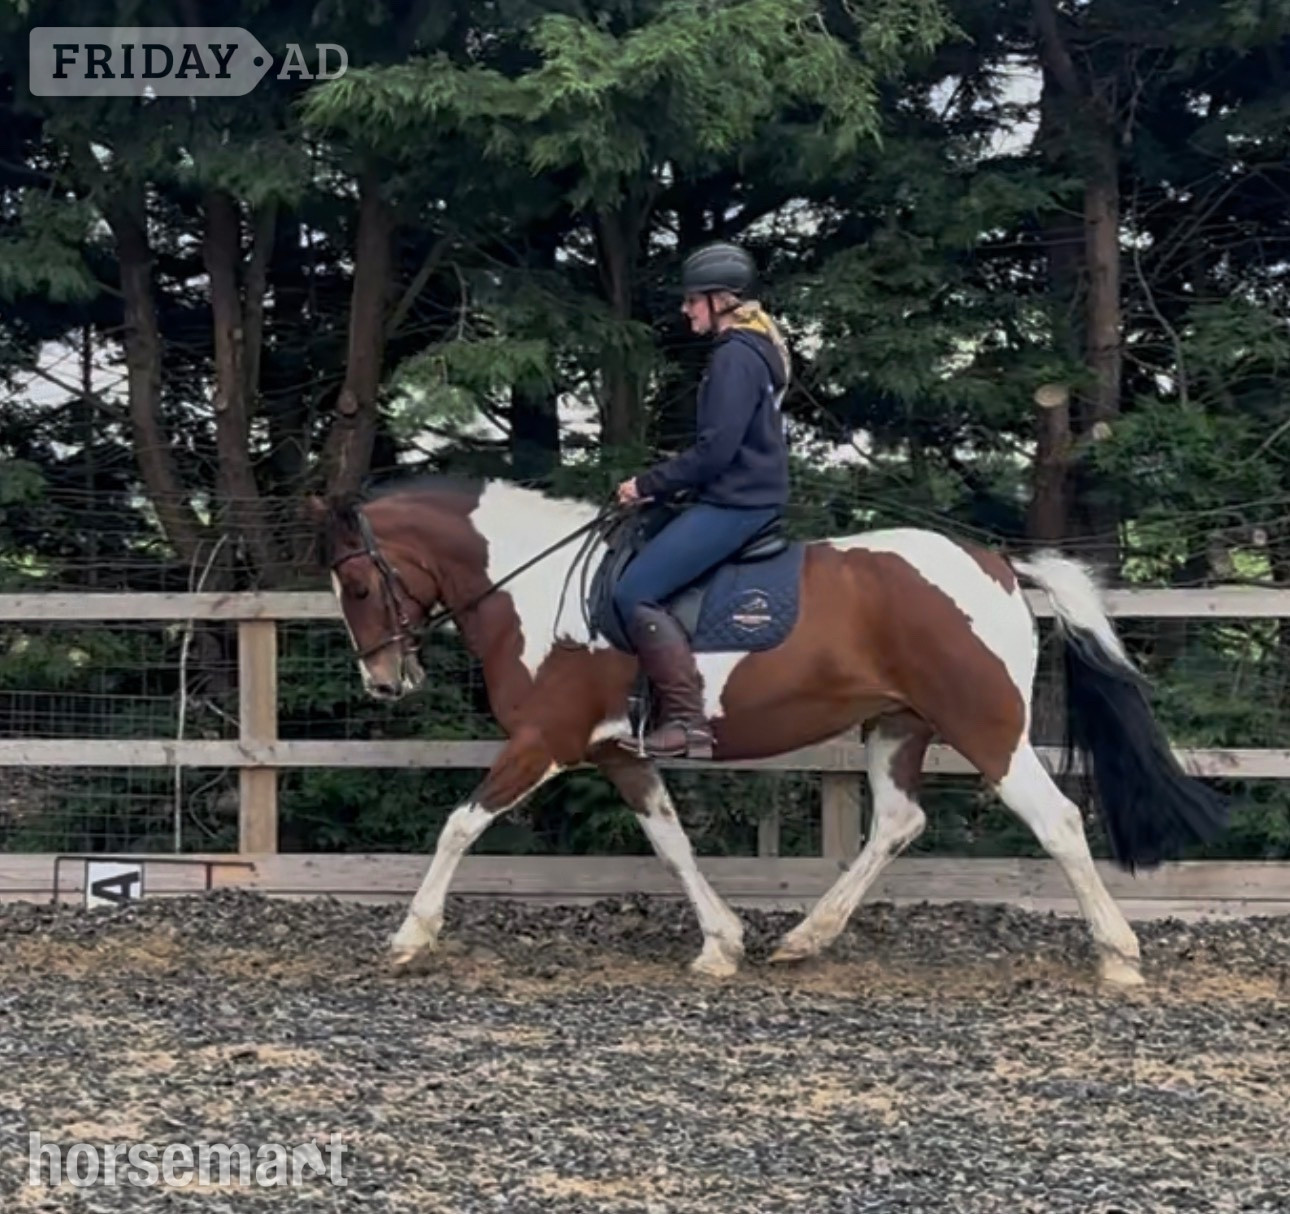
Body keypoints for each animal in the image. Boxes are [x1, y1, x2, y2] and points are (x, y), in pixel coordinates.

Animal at [308, 475, 1230, 988]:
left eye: (357, 584)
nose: (383, 681)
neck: (537, 590)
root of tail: (996, 564)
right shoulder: (617, 753)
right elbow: (671, 842)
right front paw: (722, 944)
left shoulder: (546, 741)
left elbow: (459, 825)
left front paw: (409, 936)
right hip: (897, 726)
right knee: (900, 822)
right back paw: (804, 938)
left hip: (987, 728)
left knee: (1059, 821)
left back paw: (1118, 955)